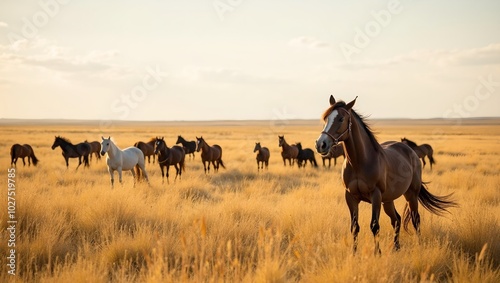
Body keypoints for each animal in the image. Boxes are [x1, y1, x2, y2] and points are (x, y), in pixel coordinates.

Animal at [316, 95, 458, 255]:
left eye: (341, 119)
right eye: (326, 118)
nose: (321, 144)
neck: (360, 162)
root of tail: (411, 151)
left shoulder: (375, 195)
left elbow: (374, 226)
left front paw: (377, 253)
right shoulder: (351, 197)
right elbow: (354, 227)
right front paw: (354, 253)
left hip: (411, 195)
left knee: (415, 219)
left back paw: (419, 244)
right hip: (388, 201)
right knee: (396, 219)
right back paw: (396, 247)